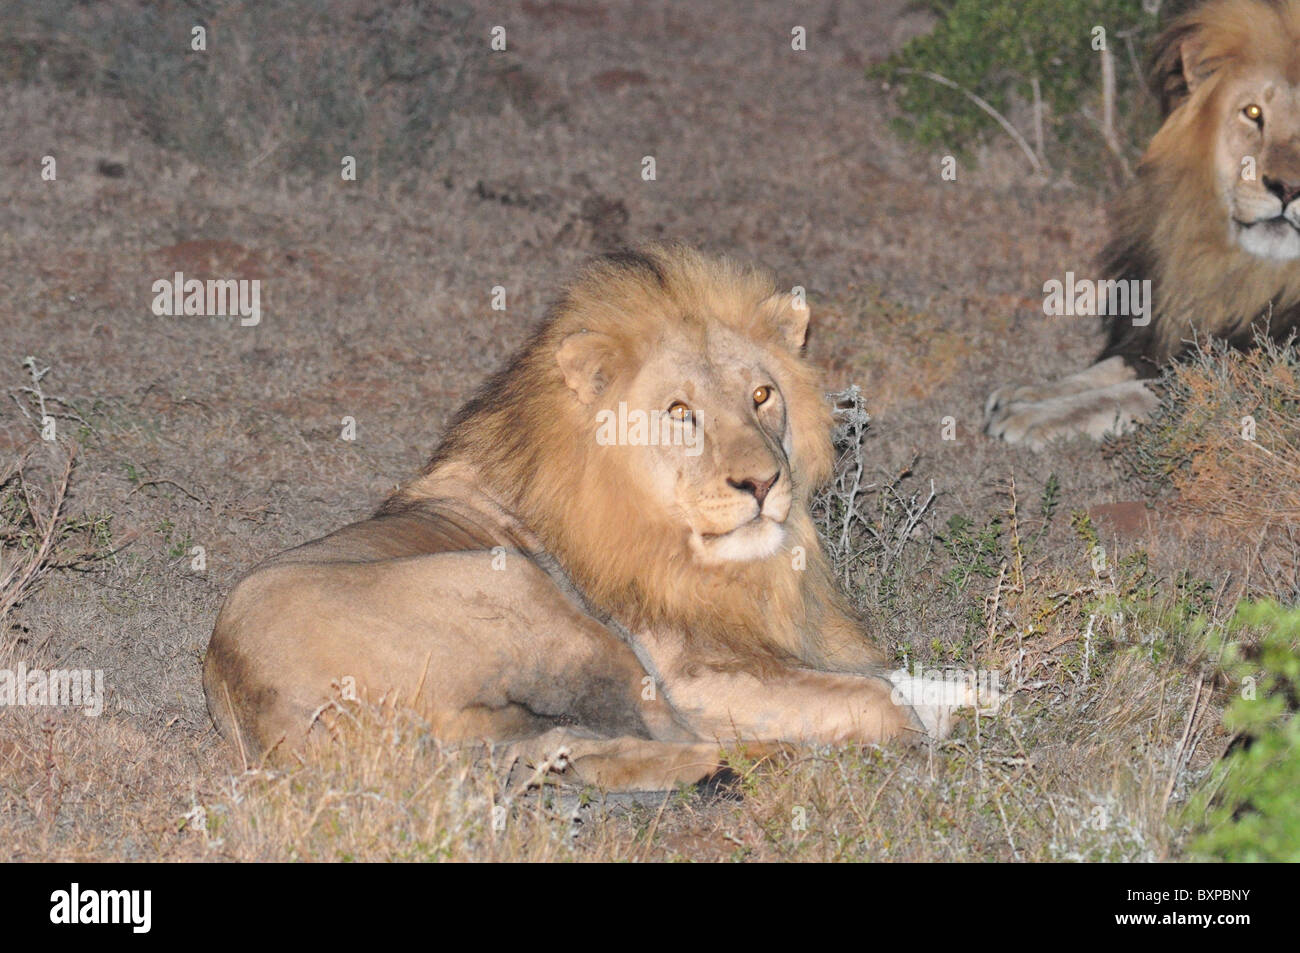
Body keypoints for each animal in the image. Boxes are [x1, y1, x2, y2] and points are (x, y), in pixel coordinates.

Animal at [208, 243, 972, 790]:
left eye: (762, 395)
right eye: (681, 412)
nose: (763, 482)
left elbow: (902, 674)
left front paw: (970, 690)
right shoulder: (693, 668)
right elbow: (878, 696)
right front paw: (929, 727)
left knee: (564, 747)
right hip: (541, 602)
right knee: (670, 728)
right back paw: (764, 759)